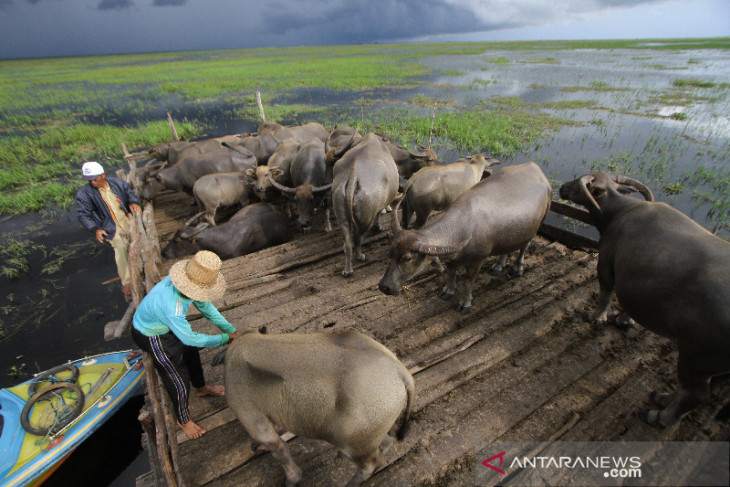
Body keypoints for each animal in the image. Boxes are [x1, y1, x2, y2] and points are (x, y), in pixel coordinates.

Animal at [216, 328, 412, 487]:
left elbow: (280, 451)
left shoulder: (254, 420)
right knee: (386, 442)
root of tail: (399, 371)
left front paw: (293, 478)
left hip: (354, 445)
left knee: (372, 464)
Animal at [330, 133, 398, 278]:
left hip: (339, 205)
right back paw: (361, 257)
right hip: (366, 214)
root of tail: (354, 173)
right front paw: (379, 227)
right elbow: (380, 213)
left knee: (348, 242)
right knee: (358, 237)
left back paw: (347, 270)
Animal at [378, 164, 548, 314]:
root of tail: (537, 170)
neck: (465, 227)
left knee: (524, 247)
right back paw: (498, 266)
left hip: (536, 226)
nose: (384, 287)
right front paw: (448, 291)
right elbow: (451, 273)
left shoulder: (476, 263)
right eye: (391, 253)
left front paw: (465, 303)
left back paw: (518, 268)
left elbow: (467, 282)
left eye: (407, 258)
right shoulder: (453, 259)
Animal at [556, 173, 728, 428]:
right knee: (695, 391)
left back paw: (659, 417)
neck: (621, 210)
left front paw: (596, 317)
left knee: (696, 395)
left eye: (580, 183)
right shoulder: (636, 283)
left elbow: (606, 292)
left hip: (696, 356)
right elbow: (630, 302)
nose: (562, 188)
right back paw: (663, 397)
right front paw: (624, 321)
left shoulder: (605, 261)